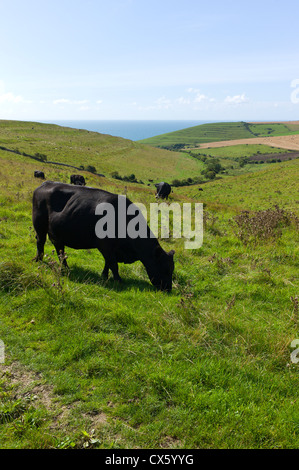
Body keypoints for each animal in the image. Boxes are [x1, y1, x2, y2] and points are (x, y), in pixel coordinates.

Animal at [32, 182, 176, 292]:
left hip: (57, 234)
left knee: (60, 250)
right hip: (39, 226)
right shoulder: (105, 246)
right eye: (165, 269)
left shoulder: (113, 249)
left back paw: (64, 267)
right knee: (41, 242)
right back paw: (39, 259)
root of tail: (45, 184)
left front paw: (104, 276)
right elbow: (113, 264)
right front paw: (118, 280)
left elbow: (108, 262)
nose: (168, 289)